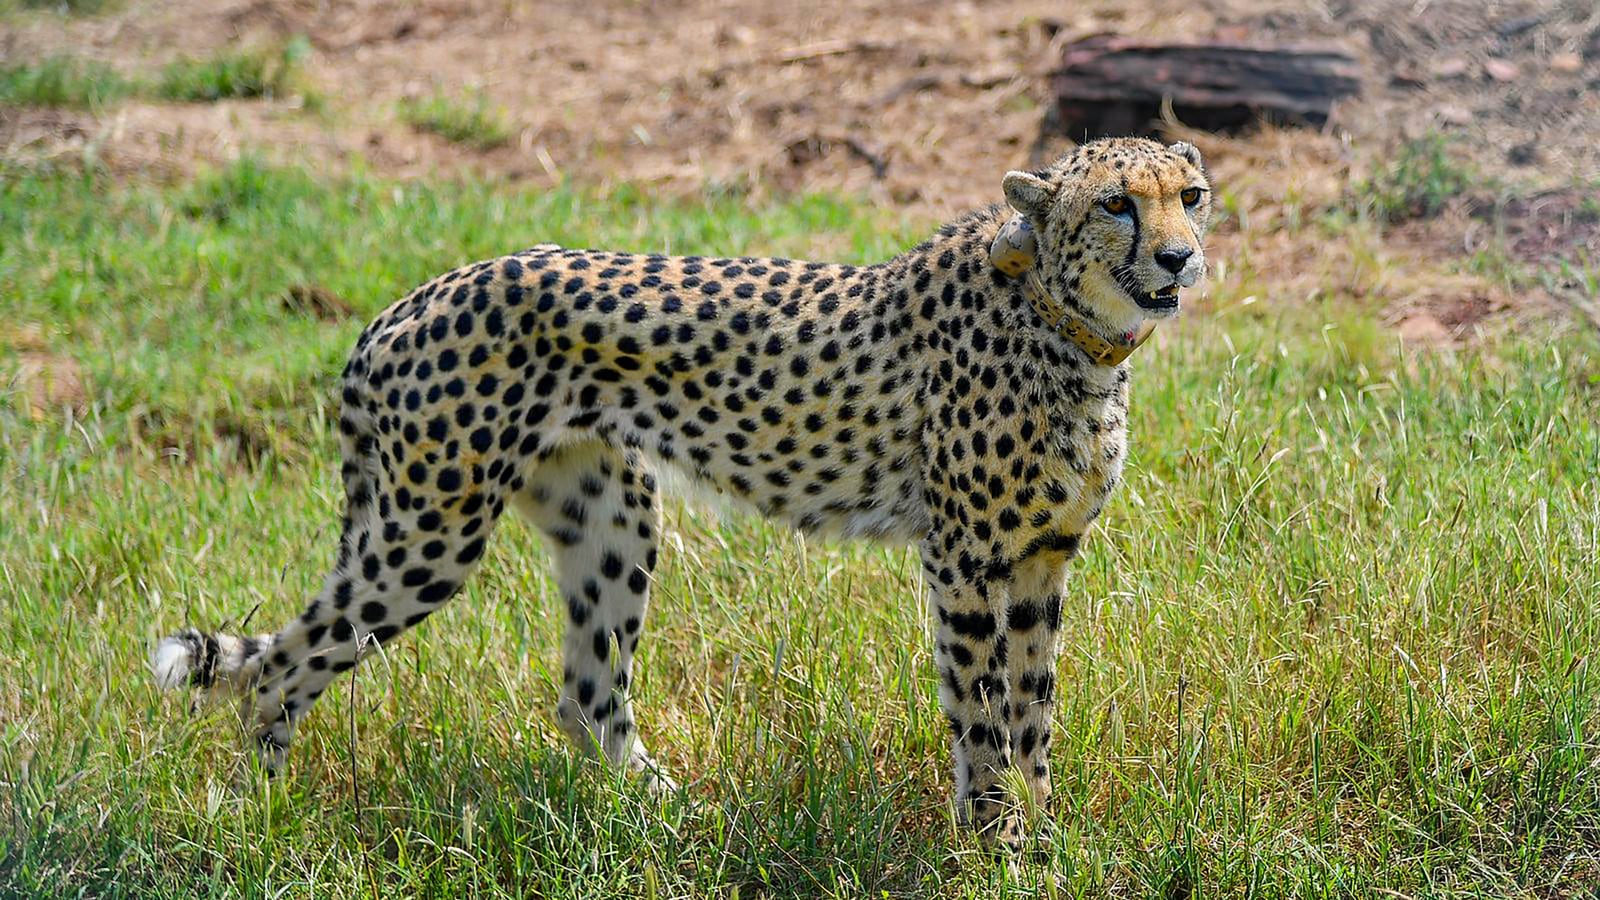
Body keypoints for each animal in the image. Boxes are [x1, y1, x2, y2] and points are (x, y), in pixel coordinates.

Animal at [159, 132, 1209, 839]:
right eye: (1117, 204)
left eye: (1191, 195)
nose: (1180, 256)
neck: (1070, 327)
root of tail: (408, 300)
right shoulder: (963, 561)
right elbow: (981, 711)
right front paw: (996, 840)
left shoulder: (1041, 559)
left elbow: (1033, 709)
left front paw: (1044, 832)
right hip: (430, 532)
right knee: (282, 667)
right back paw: (263, 818)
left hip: (610, 515)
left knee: (586, 693)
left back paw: (669, 815)